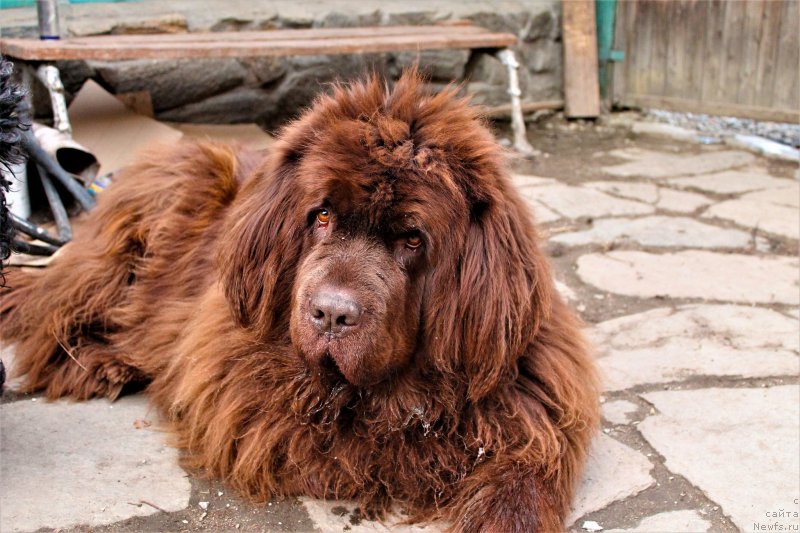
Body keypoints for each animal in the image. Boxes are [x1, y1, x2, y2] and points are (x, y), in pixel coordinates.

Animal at [0, 70, 596, 532]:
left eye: (412, 239)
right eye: (322, 215)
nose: (331, 313)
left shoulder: (531, 401)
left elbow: (524, 470)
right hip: (150, 218)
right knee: (51, 309)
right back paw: (98, 361)